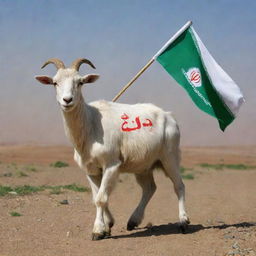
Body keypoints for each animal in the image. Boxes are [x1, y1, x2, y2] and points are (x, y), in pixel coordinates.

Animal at [35, 58, 189, 240]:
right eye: (55, 82)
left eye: (80, 82)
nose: (67, 100)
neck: (91, 123)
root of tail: (169, 116)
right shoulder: (91, 170)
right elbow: (97, 196)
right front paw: (107, 225)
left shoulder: (111, 164)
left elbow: (101, 198)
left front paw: (97, 231)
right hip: (143, 166)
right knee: (150, 188)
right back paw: (133, 221)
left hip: (169, 157)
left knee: (179, 185)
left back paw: (183, 222)